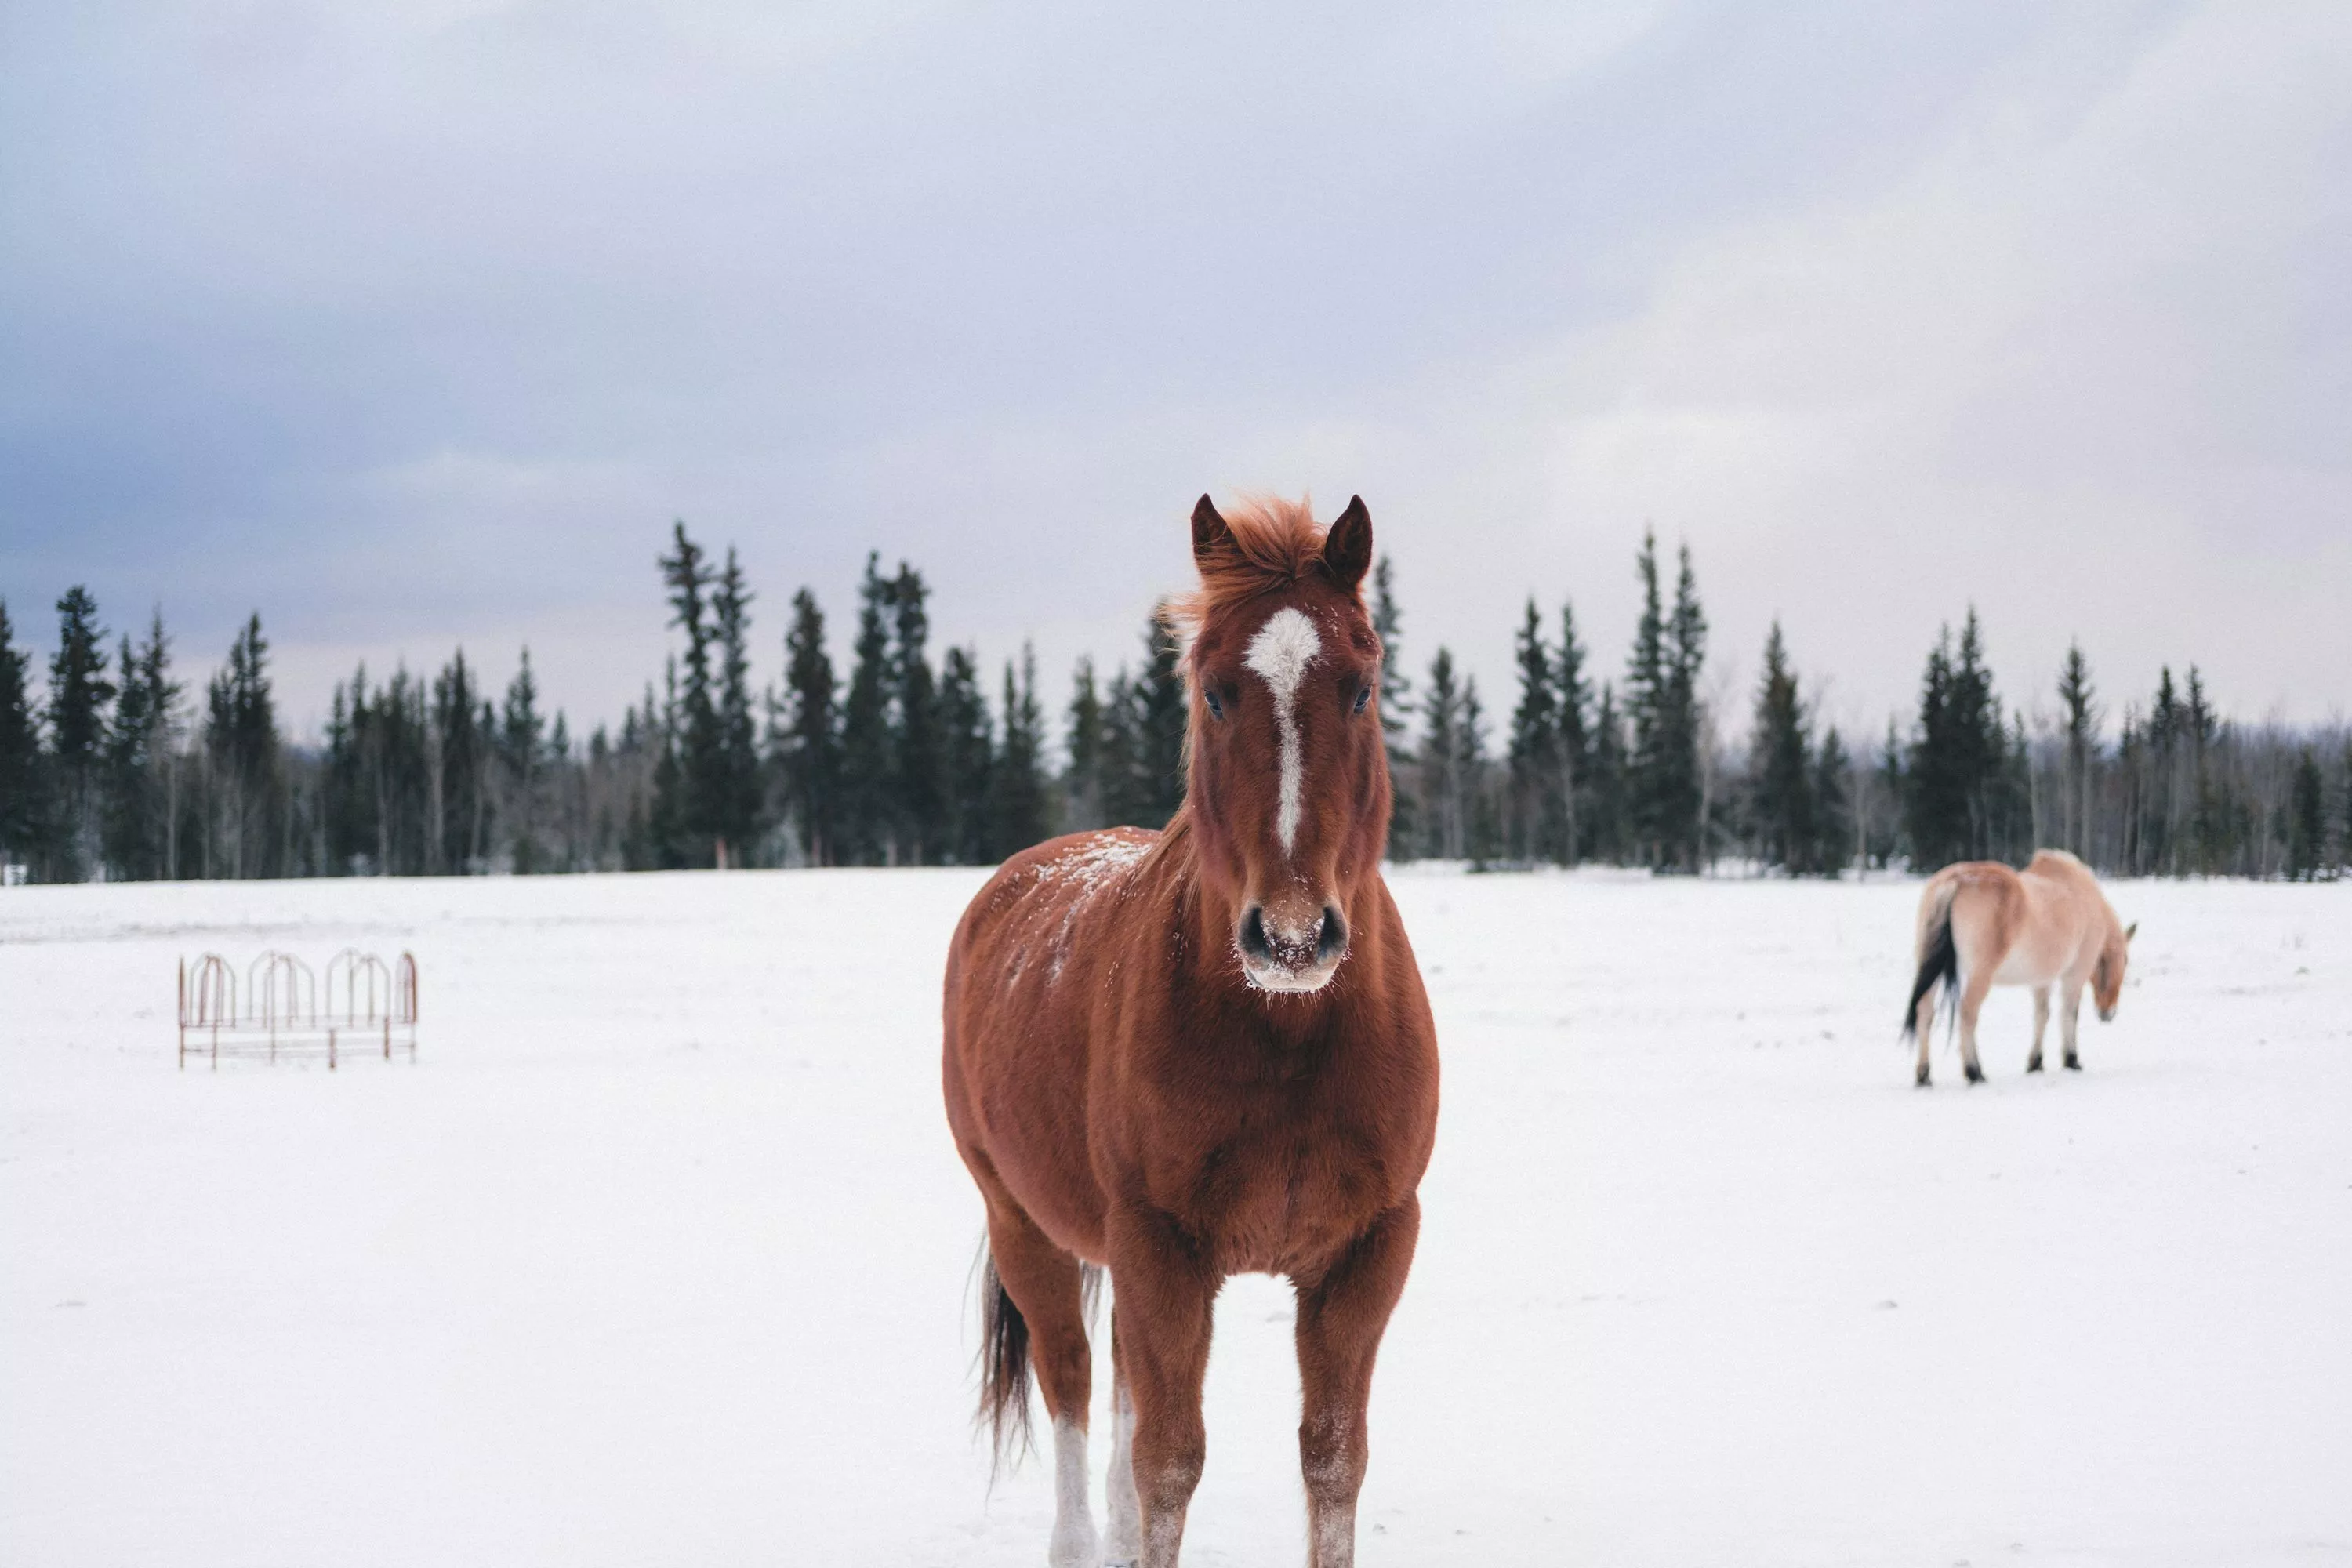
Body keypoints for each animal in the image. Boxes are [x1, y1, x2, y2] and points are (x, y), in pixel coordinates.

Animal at [941, 495, 1440, 1568]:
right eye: (1213, 691)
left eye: (1363, 687)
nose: (1291, 934)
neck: (1286, 1034)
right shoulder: (1160, 1247)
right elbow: (1169, 1463)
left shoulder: (1368, 1249)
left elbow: (1332, 1459)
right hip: (1026, 1226)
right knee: (1077, 1387)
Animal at [1901, 848, 2135, 1086]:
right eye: (2125, 961)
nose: (2108, 1013)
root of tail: (1956, 881)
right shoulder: (2075, 975)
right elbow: (2069, 1014)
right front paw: (2072, 1060)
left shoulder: (2041, 980)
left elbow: (2042, 1015)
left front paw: (2036, 1063)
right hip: (1980, 975)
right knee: (1967, 1012)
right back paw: (1975, 1071)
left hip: (1931, 970)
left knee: (1924, 1012)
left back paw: (1924, 1075)